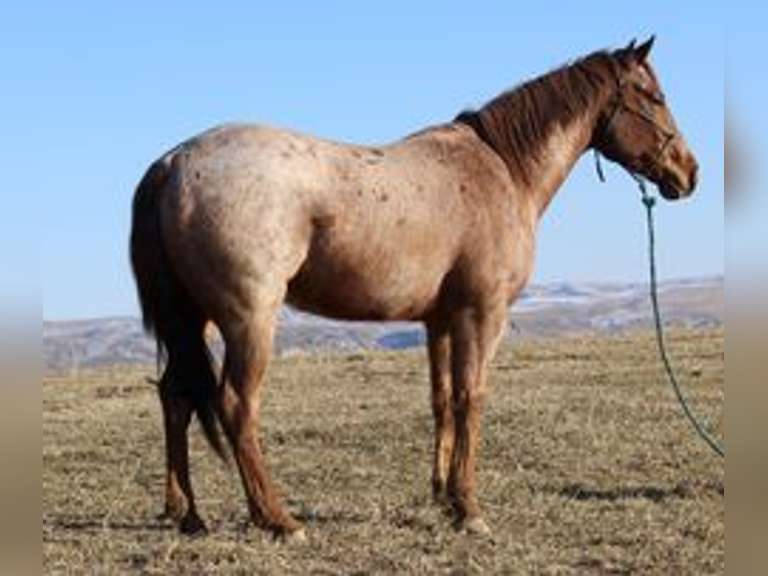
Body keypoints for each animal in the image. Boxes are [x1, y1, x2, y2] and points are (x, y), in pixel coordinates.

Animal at [130, 37, 698, 540]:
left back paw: (187, 514)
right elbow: (472, 397)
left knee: (176, 396)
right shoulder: (481, 315)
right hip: (249, 320)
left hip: (192, 318)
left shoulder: (439, 320)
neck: (502, 169)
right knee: (236, 405)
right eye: (654, 96)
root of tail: (172, 163)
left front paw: (443, 497)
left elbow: (442, 401)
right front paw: (469, 509)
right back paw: (278, 520)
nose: (689, 172)